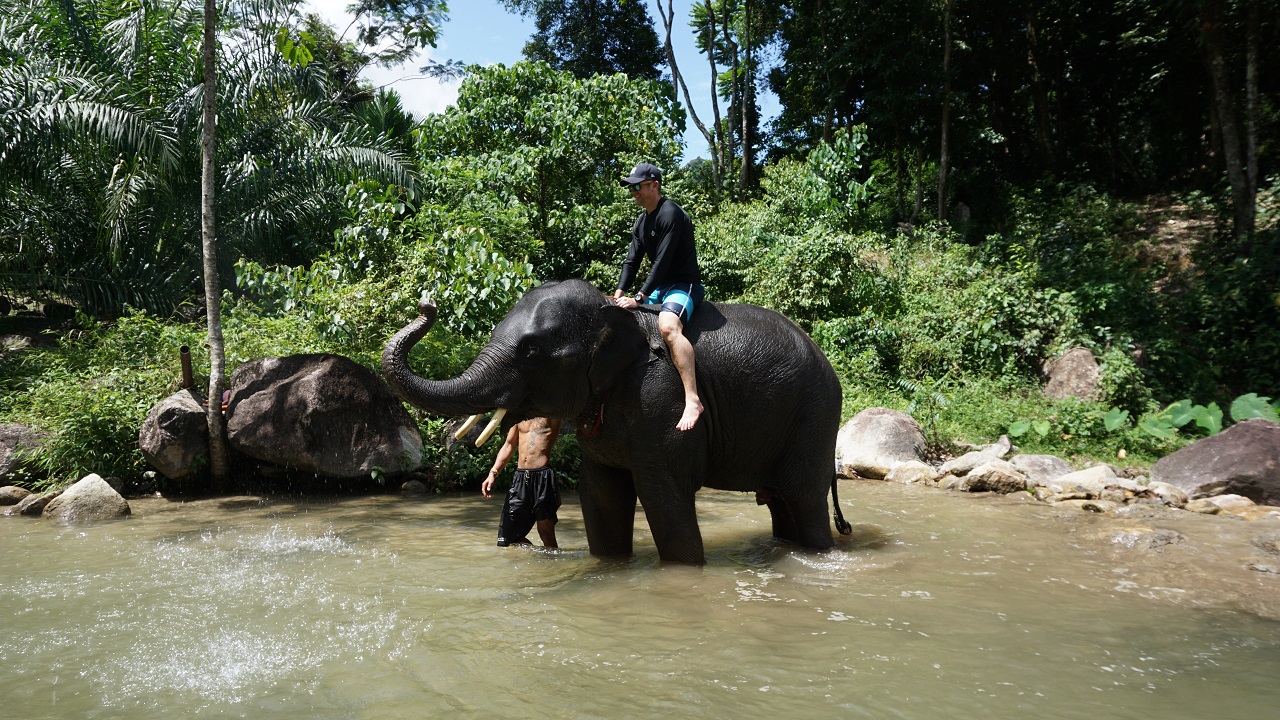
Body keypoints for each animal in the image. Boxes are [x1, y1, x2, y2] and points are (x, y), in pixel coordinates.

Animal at [378, 278, 849, 563]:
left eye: (531, 351)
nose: (427, 302)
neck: (611, 312)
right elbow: (600, 498)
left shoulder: (661, 398)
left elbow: (664, 499)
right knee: (781, 504)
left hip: (816, 414)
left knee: (804, 500)